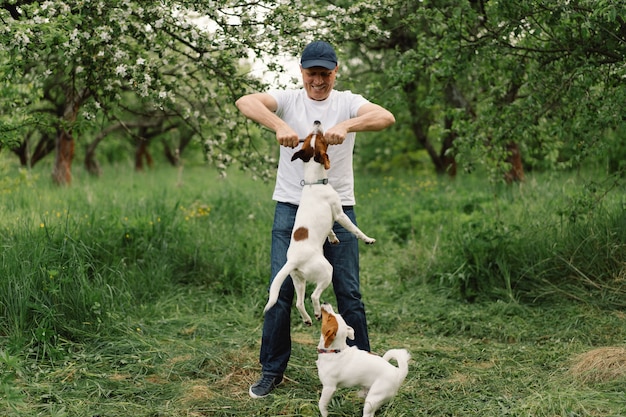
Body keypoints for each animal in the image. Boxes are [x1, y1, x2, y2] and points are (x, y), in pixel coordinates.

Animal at [260, 120, 372, 324]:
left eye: (313, 137)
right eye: (320, 138)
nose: (317, 121)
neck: (314, 182)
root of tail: (294, 260)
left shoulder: (332, 218)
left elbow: (330, 230)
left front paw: (333, 238)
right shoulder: (339, 214)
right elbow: (354, 229)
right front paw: (368, 239)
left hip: (298, 280)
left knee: (298, 303)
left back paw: (308, 318)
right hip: (327, 271)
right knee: (314, 296)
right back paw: (319, 312)